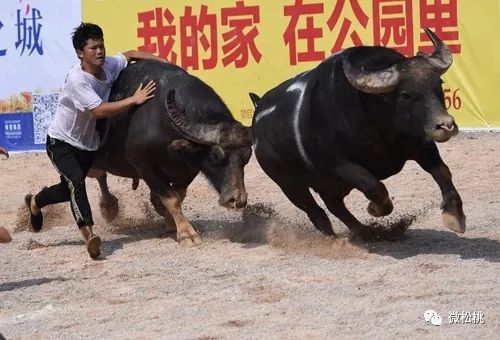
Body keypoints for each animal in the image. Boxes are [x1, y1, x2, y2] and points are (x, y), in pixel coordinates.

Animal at [90, 61, 252, 246]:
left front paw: (170, 225)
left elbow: (179, 196)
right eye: (216, 155)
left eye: (247, 157)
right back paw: (108, 207)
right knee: (97, 175)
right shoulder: (143, 165)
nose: (237, 200)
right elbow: (172, 199)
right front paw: (186, 233)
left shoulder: (189, 168)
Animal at [250, 27, 464, 239]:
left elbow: (442, 171)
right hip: (291, 186)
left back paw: (361, 230)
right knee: (316, 212)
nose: (446, 125)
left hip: (328, 185)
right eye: (406, 95)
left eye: (439, 85)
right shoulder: (340, 165)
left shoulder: (419, 143)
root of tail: (258, 112)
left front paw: (454, 215)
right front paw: (373, 209)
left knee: (334, 205)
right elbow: (375, 187)